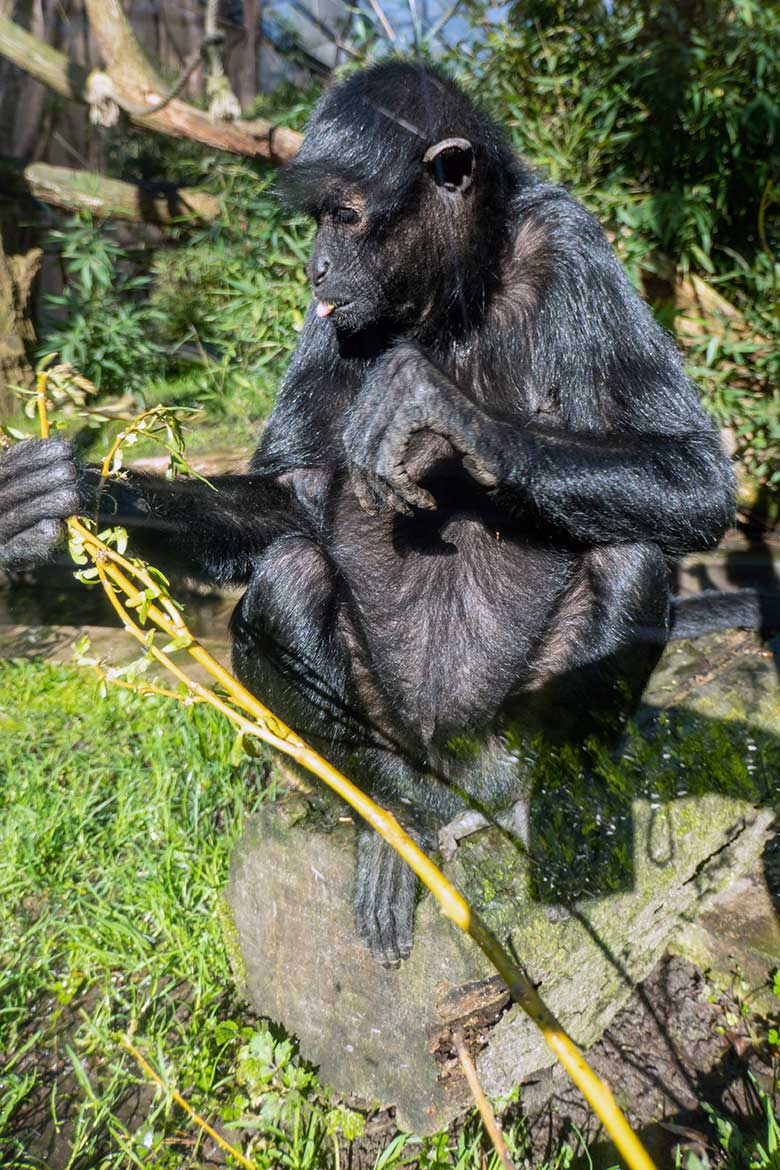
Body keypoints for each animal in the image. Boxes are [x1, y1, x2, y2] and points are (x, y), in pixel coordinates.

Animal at [0, 61, 743, 959]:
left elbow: (697, 476)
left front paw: (436, 407)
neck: (452, 302)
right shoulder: (335, 318)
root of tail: (454, 768)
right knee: (291, 571)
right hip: (401, 737)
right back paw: (393, 817)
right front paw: (66, 499)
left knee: (627, 554)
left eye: (345, 217)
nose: (317, 265)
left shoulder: (571, 241)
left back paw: (538, 799)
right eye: (318, 222)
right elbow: (288, 504)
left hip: (497, 730)